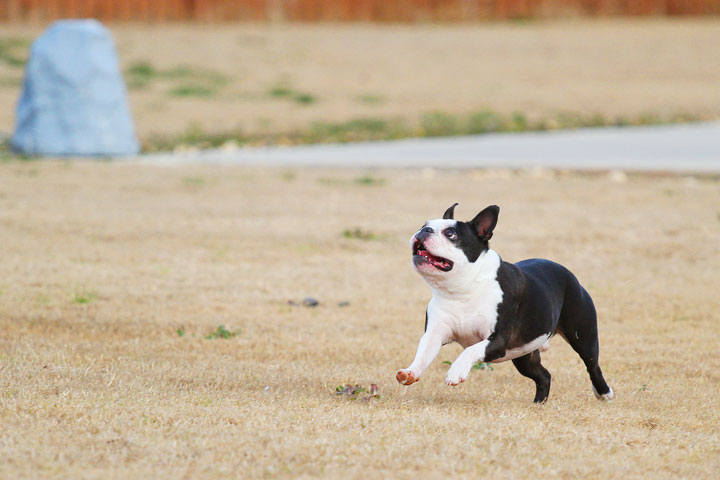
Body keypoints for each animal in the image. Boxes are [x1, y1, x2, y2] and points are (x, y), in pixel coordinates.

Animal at [394, 202, 612, 402]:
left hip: (582, 337)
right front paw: (410, 372)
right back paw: (538, 403)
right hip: (524, 356)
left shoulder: (497, 340)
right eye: (424, 225)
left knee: (592, 365)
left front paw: (456, 372)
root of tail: (569, 274)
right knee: (544, 376)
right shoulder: (436, 333)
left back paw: (604, 393)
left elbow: (471, 350)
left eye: (450, 233)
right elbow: (423, 353)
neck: (462, 290)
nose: (424, 230)